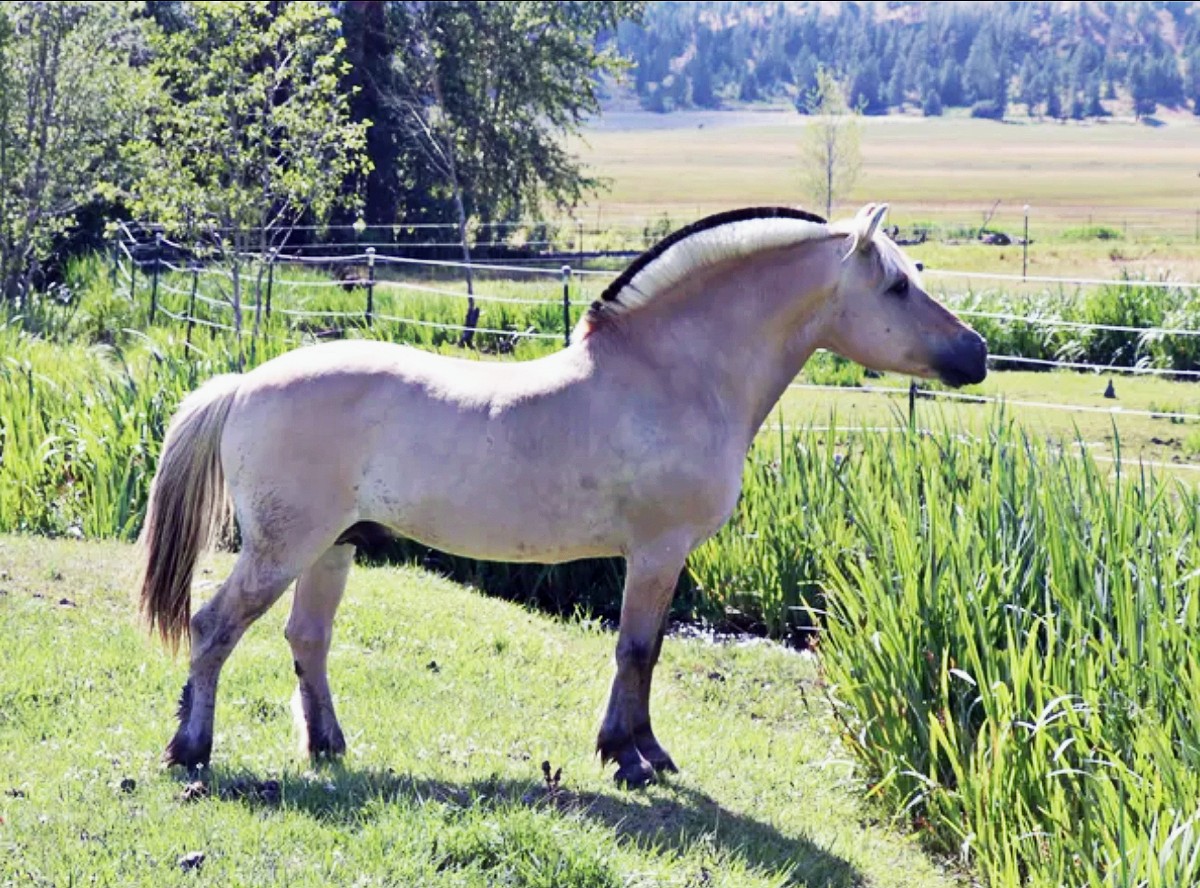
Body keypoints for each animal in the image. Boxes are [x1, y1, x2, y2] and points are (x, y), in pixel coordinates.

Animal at [138, 203, 987, 787]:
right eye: (897, 285)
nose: (976, 354)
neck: (673, 374)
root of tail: (245, 384)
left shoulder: (660, 557)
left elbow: (641, 649)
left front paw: (630, 751)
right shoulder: (657, 552)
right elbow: (638, 650)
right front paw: (635, 758)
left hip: (333, 550)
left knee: (306, 640)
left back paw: (327, 746)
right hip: (283, 549)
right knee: (214, 627)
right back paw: (191, 750)